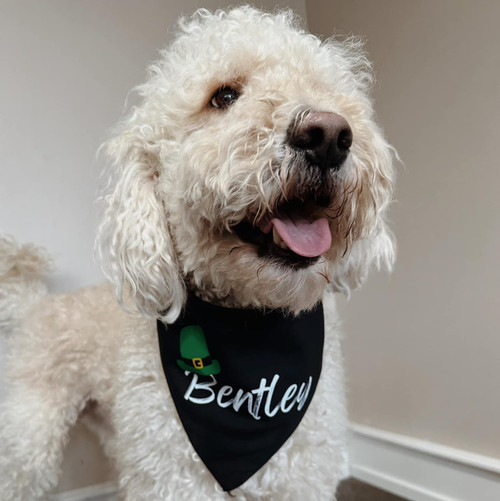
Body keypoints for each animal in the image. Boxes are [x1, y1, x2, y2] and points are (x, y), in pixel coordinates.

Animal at [0, 5, 396, 498]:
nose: (327, 135)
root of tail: (35, 303)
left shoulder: (300, 475)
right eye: (222, 96)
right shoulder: (173, 476)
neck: (252, 325)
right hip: (31, 431)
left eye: (325, 89)